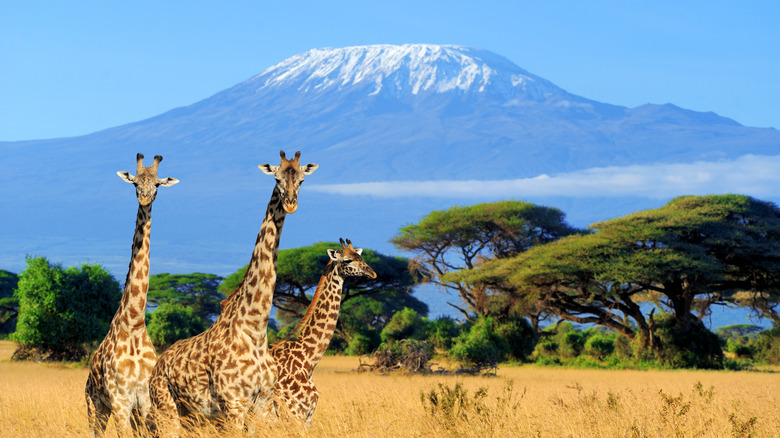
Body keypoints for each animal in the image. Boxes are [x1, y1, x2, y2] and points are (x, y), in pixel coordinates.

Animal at [85, 152, 178, 436]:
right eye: (135, 183)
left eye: (157, 184)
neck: (134, 322)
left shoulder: (145, 401)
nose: (145, 198)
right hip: (95, 406)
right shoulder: (120, 401)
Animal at [149, 151, 316, 434]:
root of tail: (158, 366)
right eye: (277, 178)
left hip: (193, 417)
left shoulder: (262, 405)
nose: (291, 203)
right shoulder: (234, 405)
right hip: (166, 410)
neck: (256, 329)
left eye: (302, 179)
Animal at [268, 238, 378, 422]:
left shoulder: (308, 416)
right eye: (347, 260)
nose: (372, 273)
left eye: (360, 257)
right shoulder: (293, 414)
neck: (307, 360)